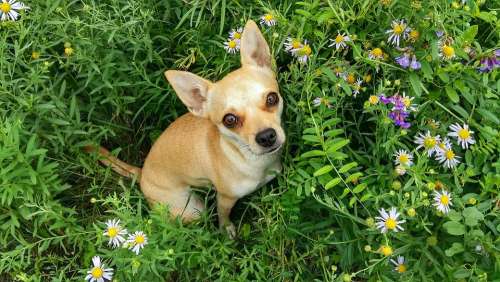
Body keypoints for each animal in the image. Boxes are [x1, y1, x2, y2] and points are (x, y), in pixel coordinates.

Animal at [87, 19, 284, 237]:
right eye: (229, 120)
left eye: (272, 98)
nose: (266, 136)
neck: (252, 160)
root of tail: (143, 172)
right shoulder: (225, 198)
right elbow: (223, 216)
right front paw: (226, 230)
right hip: (193, 209)